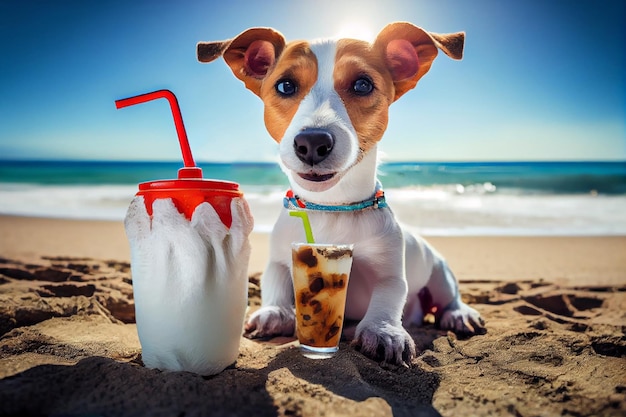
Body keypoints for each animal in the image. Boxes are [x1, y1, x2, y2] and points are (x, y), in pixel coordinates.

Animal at [195, 21, 482, 362]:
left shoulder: (389, 271)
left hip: (439, 271)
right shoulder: (279, 257)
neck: (331, 207)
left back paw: (459, 314)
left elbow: (389, 294)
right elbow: (275, 280)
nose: (312, 142)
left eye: (362, 85)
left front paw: (383, 331)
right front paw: (275, 312)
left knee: (449, 296)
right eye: (285, 86)